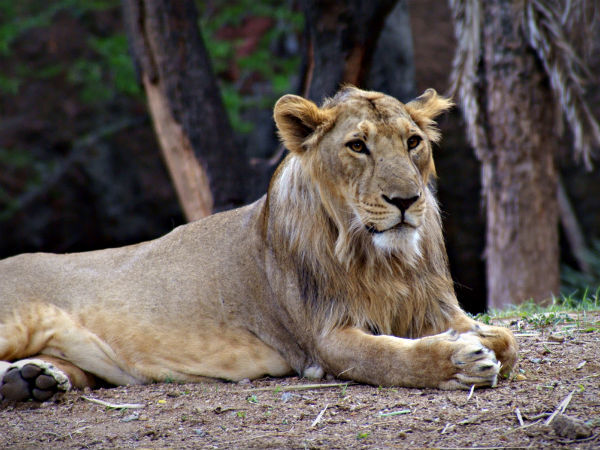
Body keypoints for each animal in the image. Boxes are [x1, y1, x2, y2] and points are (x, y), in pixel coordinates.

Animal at [0, 87, 516, 400]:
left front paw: (481, 339)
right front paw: (460, 358)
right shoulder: (323, 339)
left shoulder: (432, 306)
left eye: (412, 142)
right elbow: (388, 358)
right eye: (357, 146)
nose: (406, 200)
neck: (382, 259)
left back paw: (31, 381)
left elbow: (508, 340)